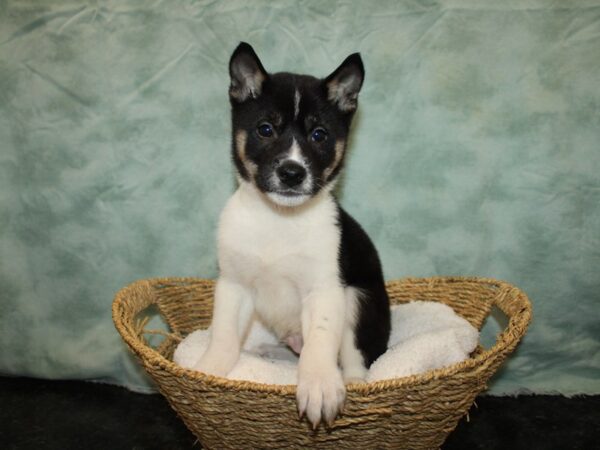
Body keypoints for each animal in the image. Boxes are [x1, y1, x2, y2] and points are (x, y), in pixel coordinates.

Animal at [196, 42, 394, 428]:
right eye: (265, 129)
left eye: (319, 135)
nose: (291, 173)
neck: (279, 220)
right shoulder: (234, 285)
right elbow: (224, 334)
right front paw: (210, 369)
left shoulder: (324, 291)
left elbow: (320, 341)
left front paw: (319, 385)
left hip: (358, 300)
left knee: (355, 361)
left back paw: (350, 380)